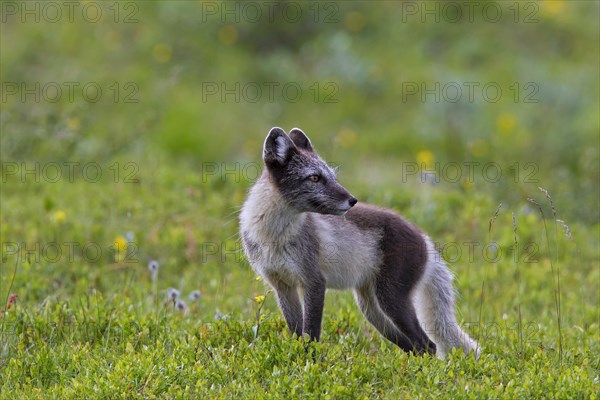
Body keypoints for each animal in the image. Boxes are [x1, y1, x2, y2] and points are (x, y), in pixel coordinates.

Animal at [239, 126, 478, 358]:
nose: (352, 200)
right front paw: (299, 360)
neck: (273, 236)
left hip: (391, 300)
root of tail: (423, 236)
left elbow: (311, 335)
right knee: (413, 347)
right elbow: (298, 334)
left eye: (333, 176)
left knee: (429, 345)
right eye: (314, 178)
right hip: (373, 311)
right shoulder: (282, 286)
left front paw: (311, 364)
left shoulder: (314, 282)